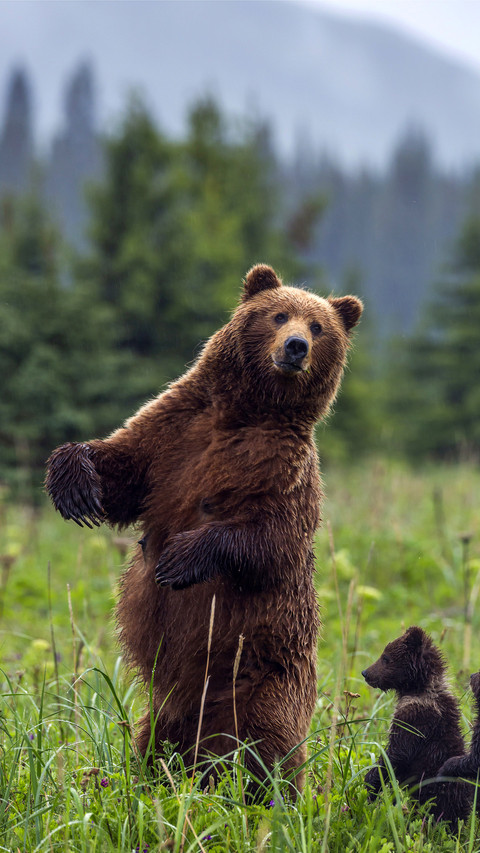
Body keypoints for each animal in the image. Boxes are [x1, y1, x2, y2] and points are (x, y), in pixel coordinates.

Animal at [46, 263, 362, 791]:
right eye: (279, 314)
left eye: (319, 327)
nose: (296, 346)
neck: (248, 411)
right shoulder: (175, 431)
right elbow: (124, 467)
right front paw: (74, 482)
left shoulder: (284, 470)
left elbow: (273, 540)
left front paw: (180, 559)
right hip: (167, 712)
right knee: (154, 743)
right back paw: (145, 779)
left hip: (266, 678)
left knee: (267, 745)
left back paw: (267, 791)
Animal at [362, 626, 472, 829]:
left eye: (386, 657)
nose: (365, 673)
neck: (418, 690)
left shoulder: (416, 721)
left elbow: (396, 754)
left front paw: (370, 784)